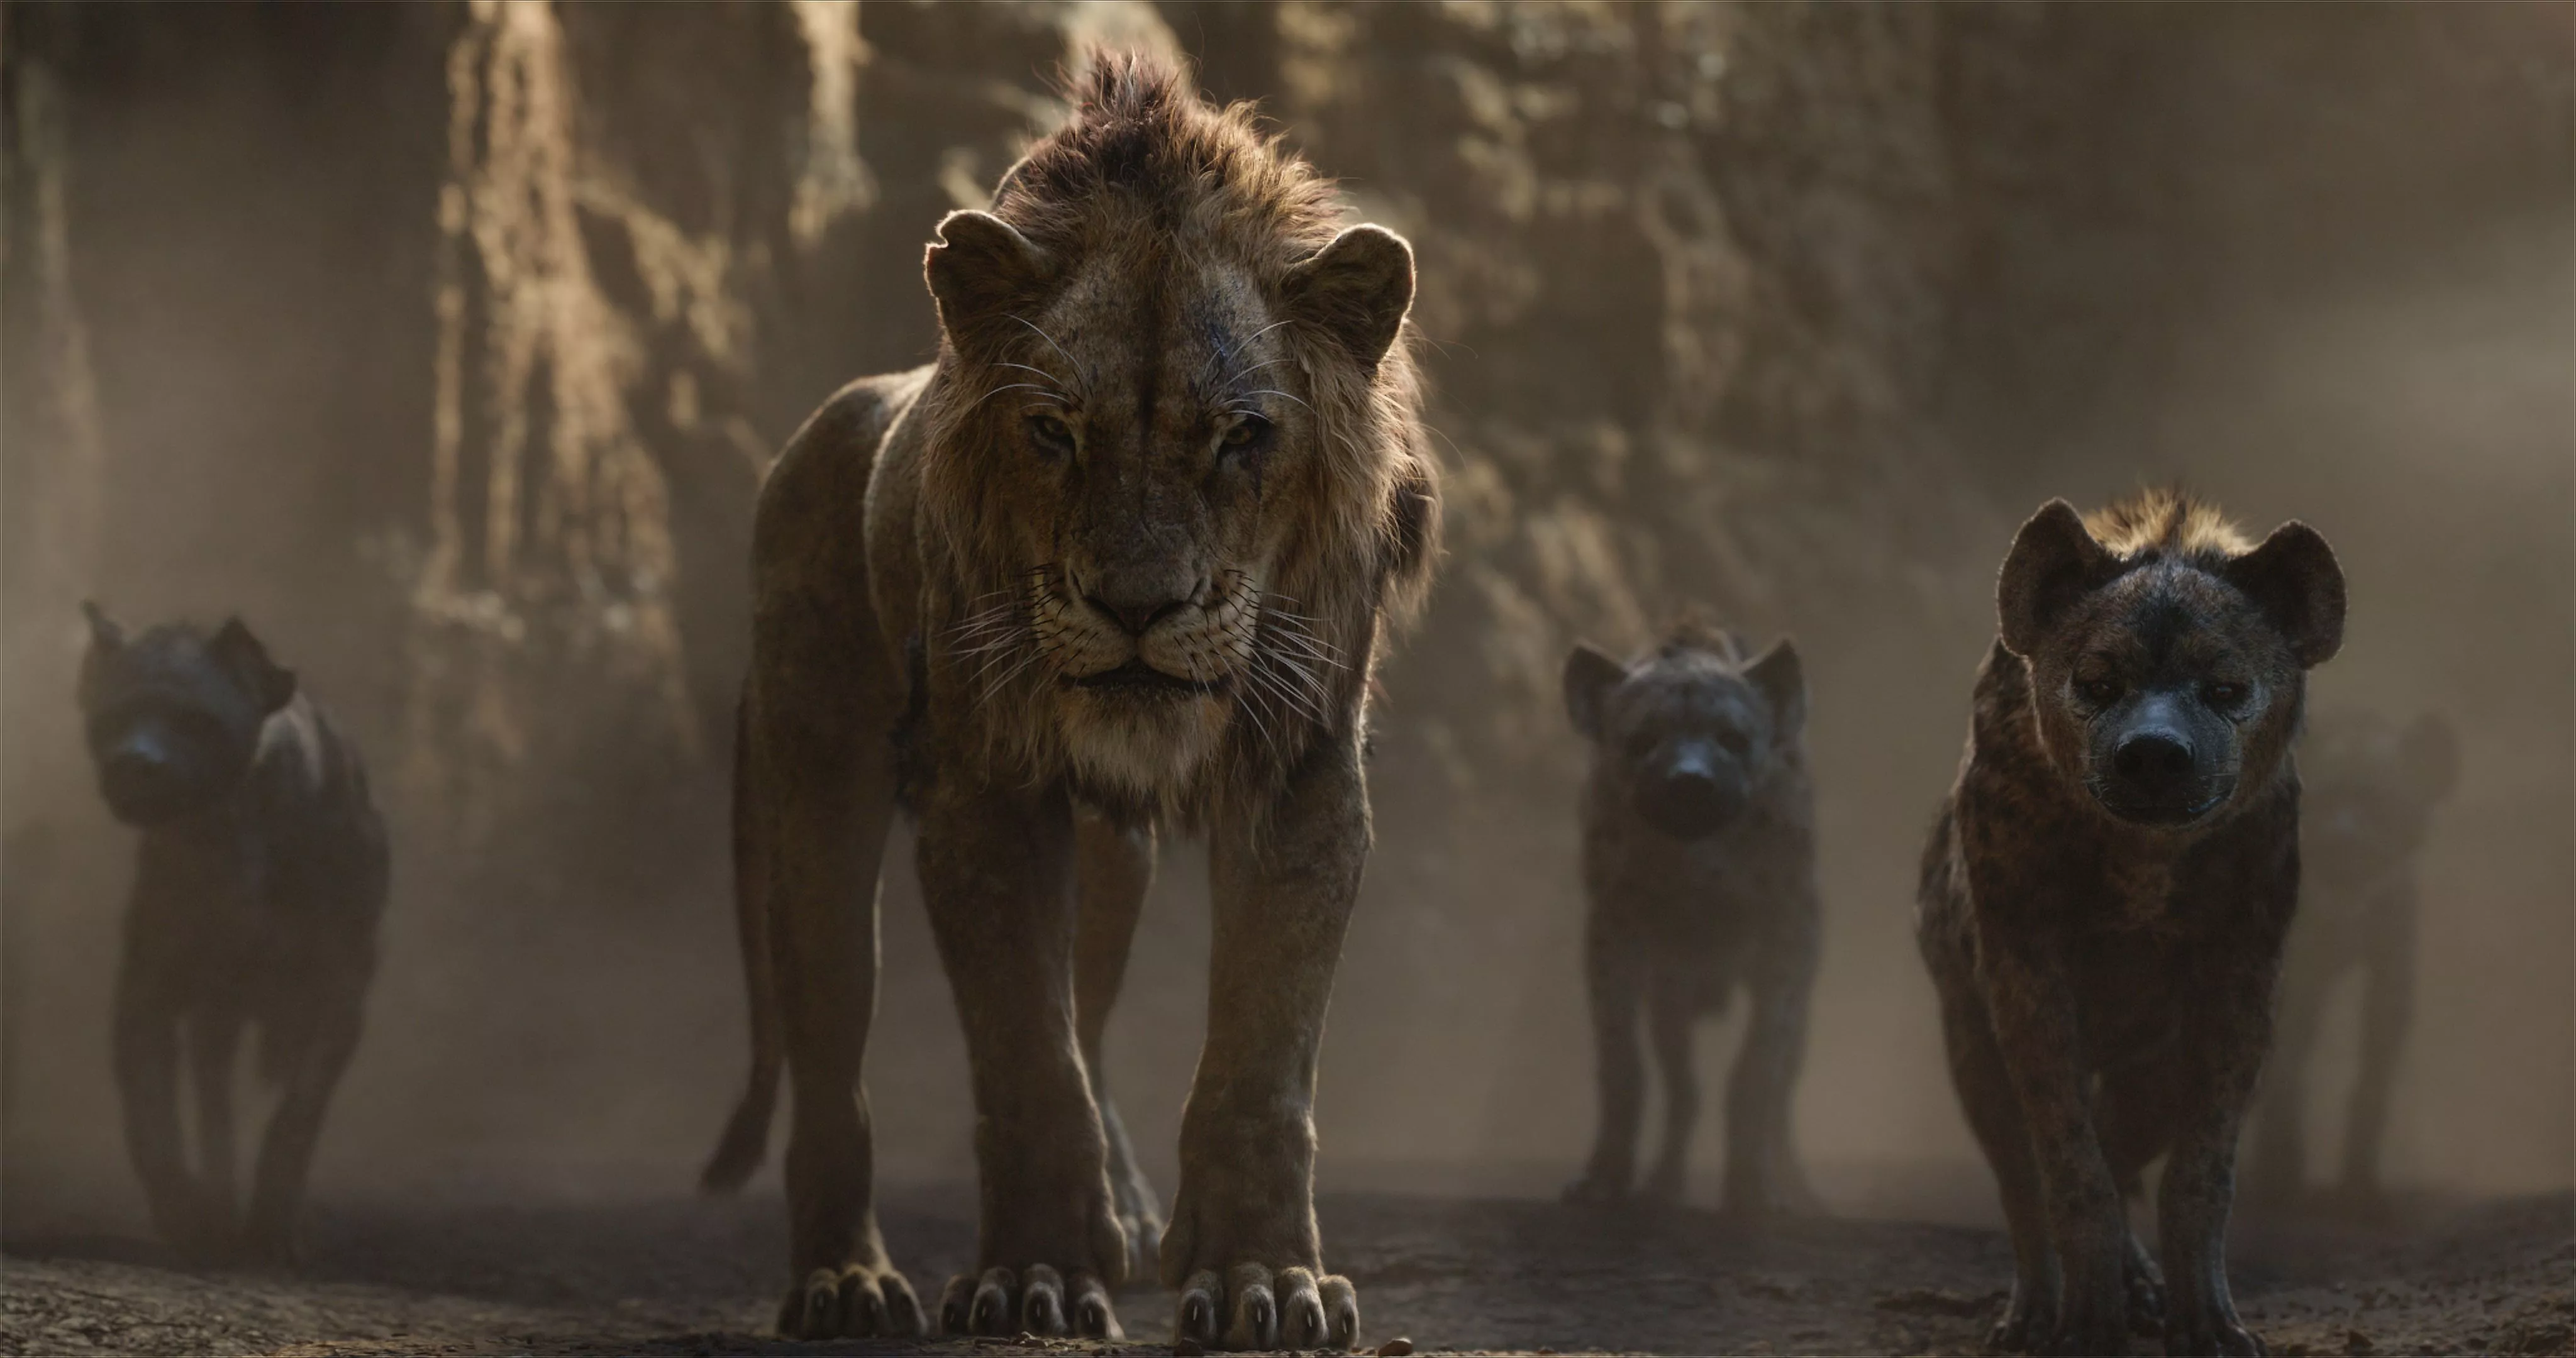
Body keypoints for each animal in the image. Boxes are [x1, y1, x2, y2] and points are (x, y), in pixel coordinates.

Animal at [698, 54, 1438, 1350]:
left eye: (1243, 437)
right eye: (1053, 431)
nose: (1137, 605)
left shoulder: (1302, 777)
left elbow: (1258, 1061)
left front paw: (1259, 1280)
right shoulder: (986, 792)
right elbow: (1025, 1061)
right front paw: (1032, 1278)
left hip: (1110, 859)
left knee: (1089, 1014)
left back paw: (1130, 1215)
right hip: (814, 795)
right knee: (833, 1055)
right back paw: (844, 1283)